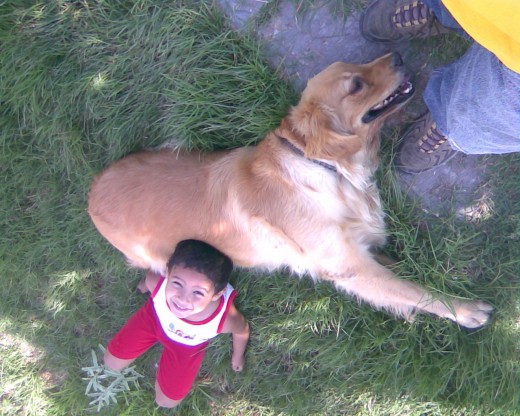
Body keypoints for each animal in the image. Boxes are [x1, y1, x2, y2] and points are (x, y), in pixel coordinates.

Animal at [88, 52, 492, 328]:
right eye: (355, 85)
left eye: (358, 63)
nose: (396, 55)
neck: (326, 167)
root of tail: (91, 193)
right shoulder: (348, 266)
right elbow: (412, 290)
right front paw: (464, 309)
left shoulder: (355, 248)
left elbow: (397, 273)